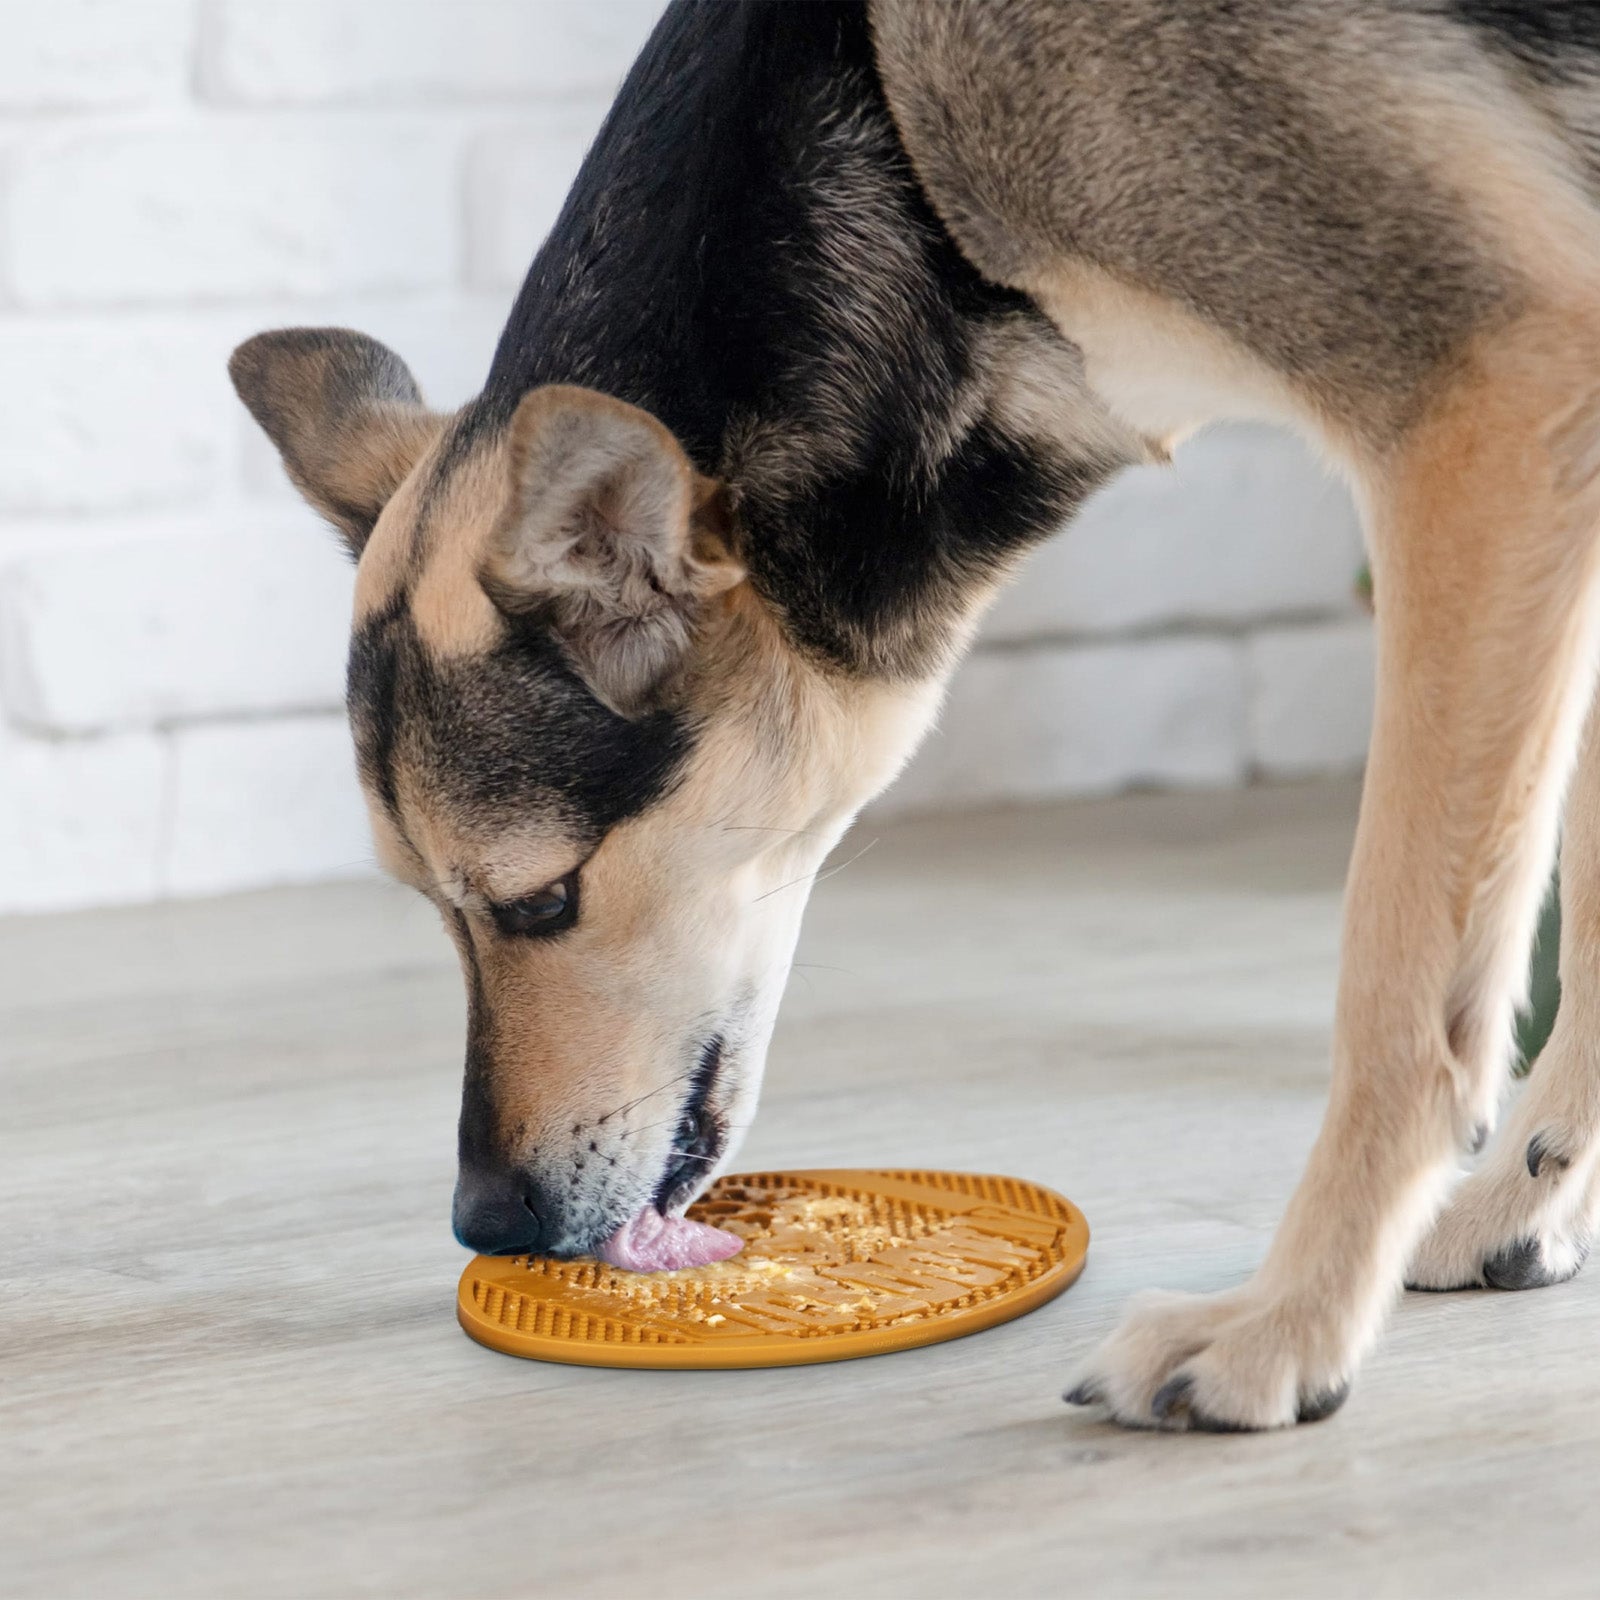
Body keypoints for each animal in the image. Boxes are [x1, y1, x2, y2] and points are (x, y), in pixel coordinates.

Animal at [228, 0, 1600, 1427]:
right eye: (432, 906)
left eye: (540, 899)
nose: (487, 1224)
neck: (881, 110)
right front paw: (1524, 1201)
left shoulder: (1491, 388)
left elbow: (1401, 996)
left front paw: (1287, 1325)